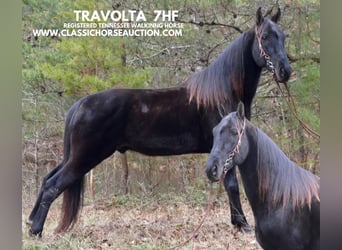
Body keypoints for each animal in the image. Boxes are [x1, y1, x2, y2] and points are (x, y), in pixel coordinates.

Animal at [28, 6, 292, 236]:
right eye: (265, 37)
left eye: (283, 36)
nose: (285, 71)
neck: (223, 92)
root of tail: (80, 104)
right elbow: (232, 186)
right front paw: (243, 225)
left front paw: (237, 223)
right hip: (84, 157)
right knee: (53, 185)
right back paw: (36, 231)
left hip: (74, 156)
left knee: (47, 179)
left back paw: (31, 221)